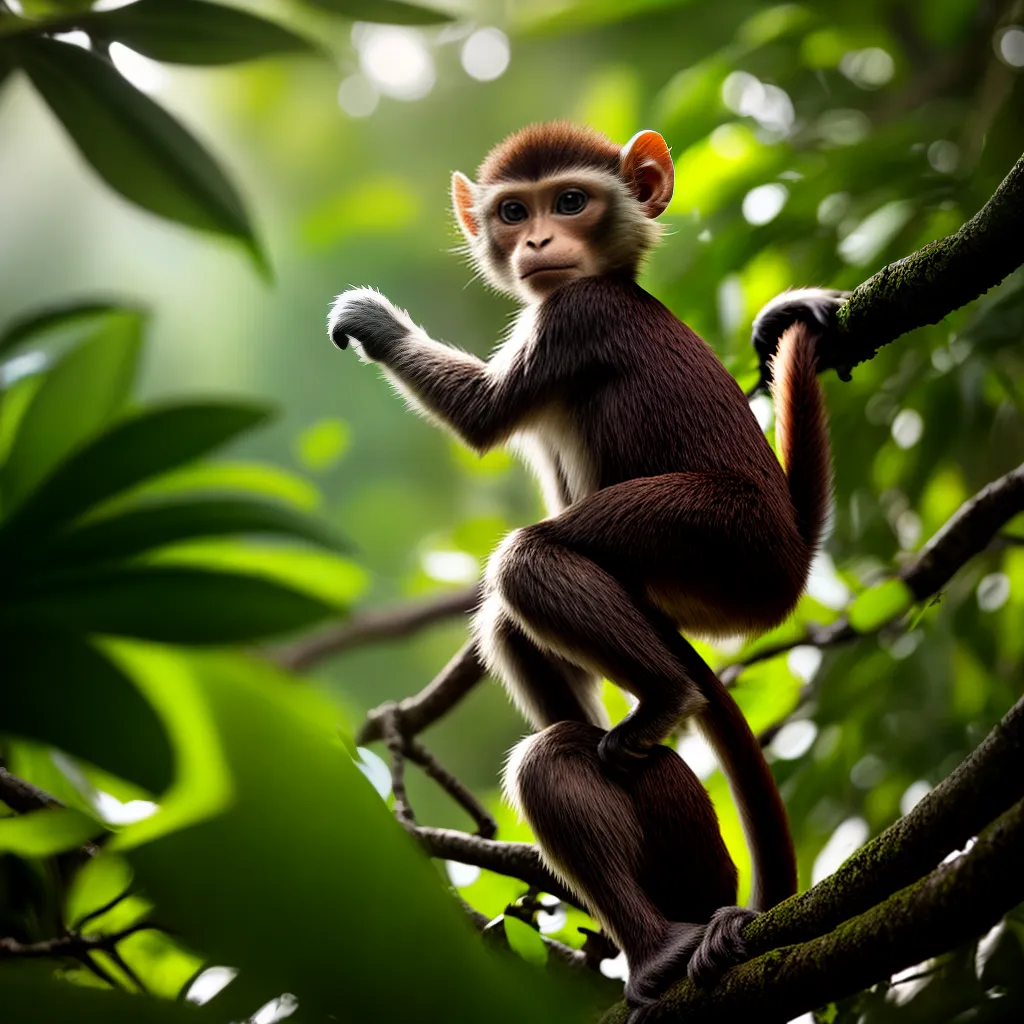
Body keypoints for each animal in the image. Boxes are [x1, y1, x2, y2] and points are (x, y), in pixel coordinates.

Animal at [327, 122, 840, 1010]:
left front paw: (373, 322)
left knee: (528, 561)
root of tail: (794, 553)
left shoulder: (576, 314)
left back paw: (665, 708)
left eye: (569, 201)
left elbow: (484, 417)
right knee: (530, 658)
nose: (537, 241)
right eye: (511, 212)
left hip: (723, 534)